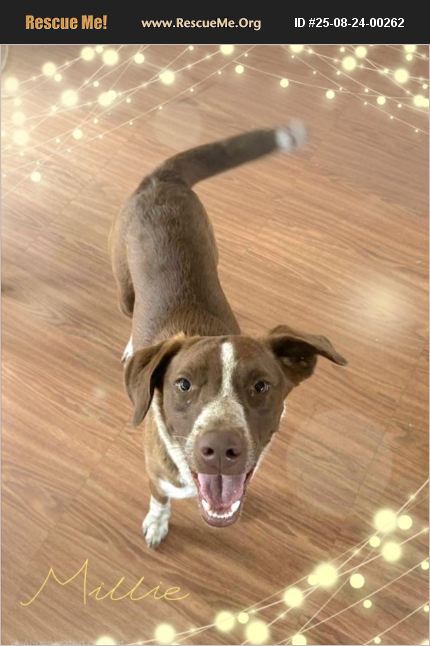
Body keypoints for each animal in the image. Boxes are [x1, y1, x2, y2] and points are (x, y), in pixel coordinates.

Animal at [109, 122, 347, 548]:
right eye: (183, 384)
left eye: (261, 386)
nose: (220, 448)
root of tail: (161, 178)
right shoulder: (156, 473)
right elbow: (159, 500)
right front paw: (157, 522)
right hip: (124, 288)